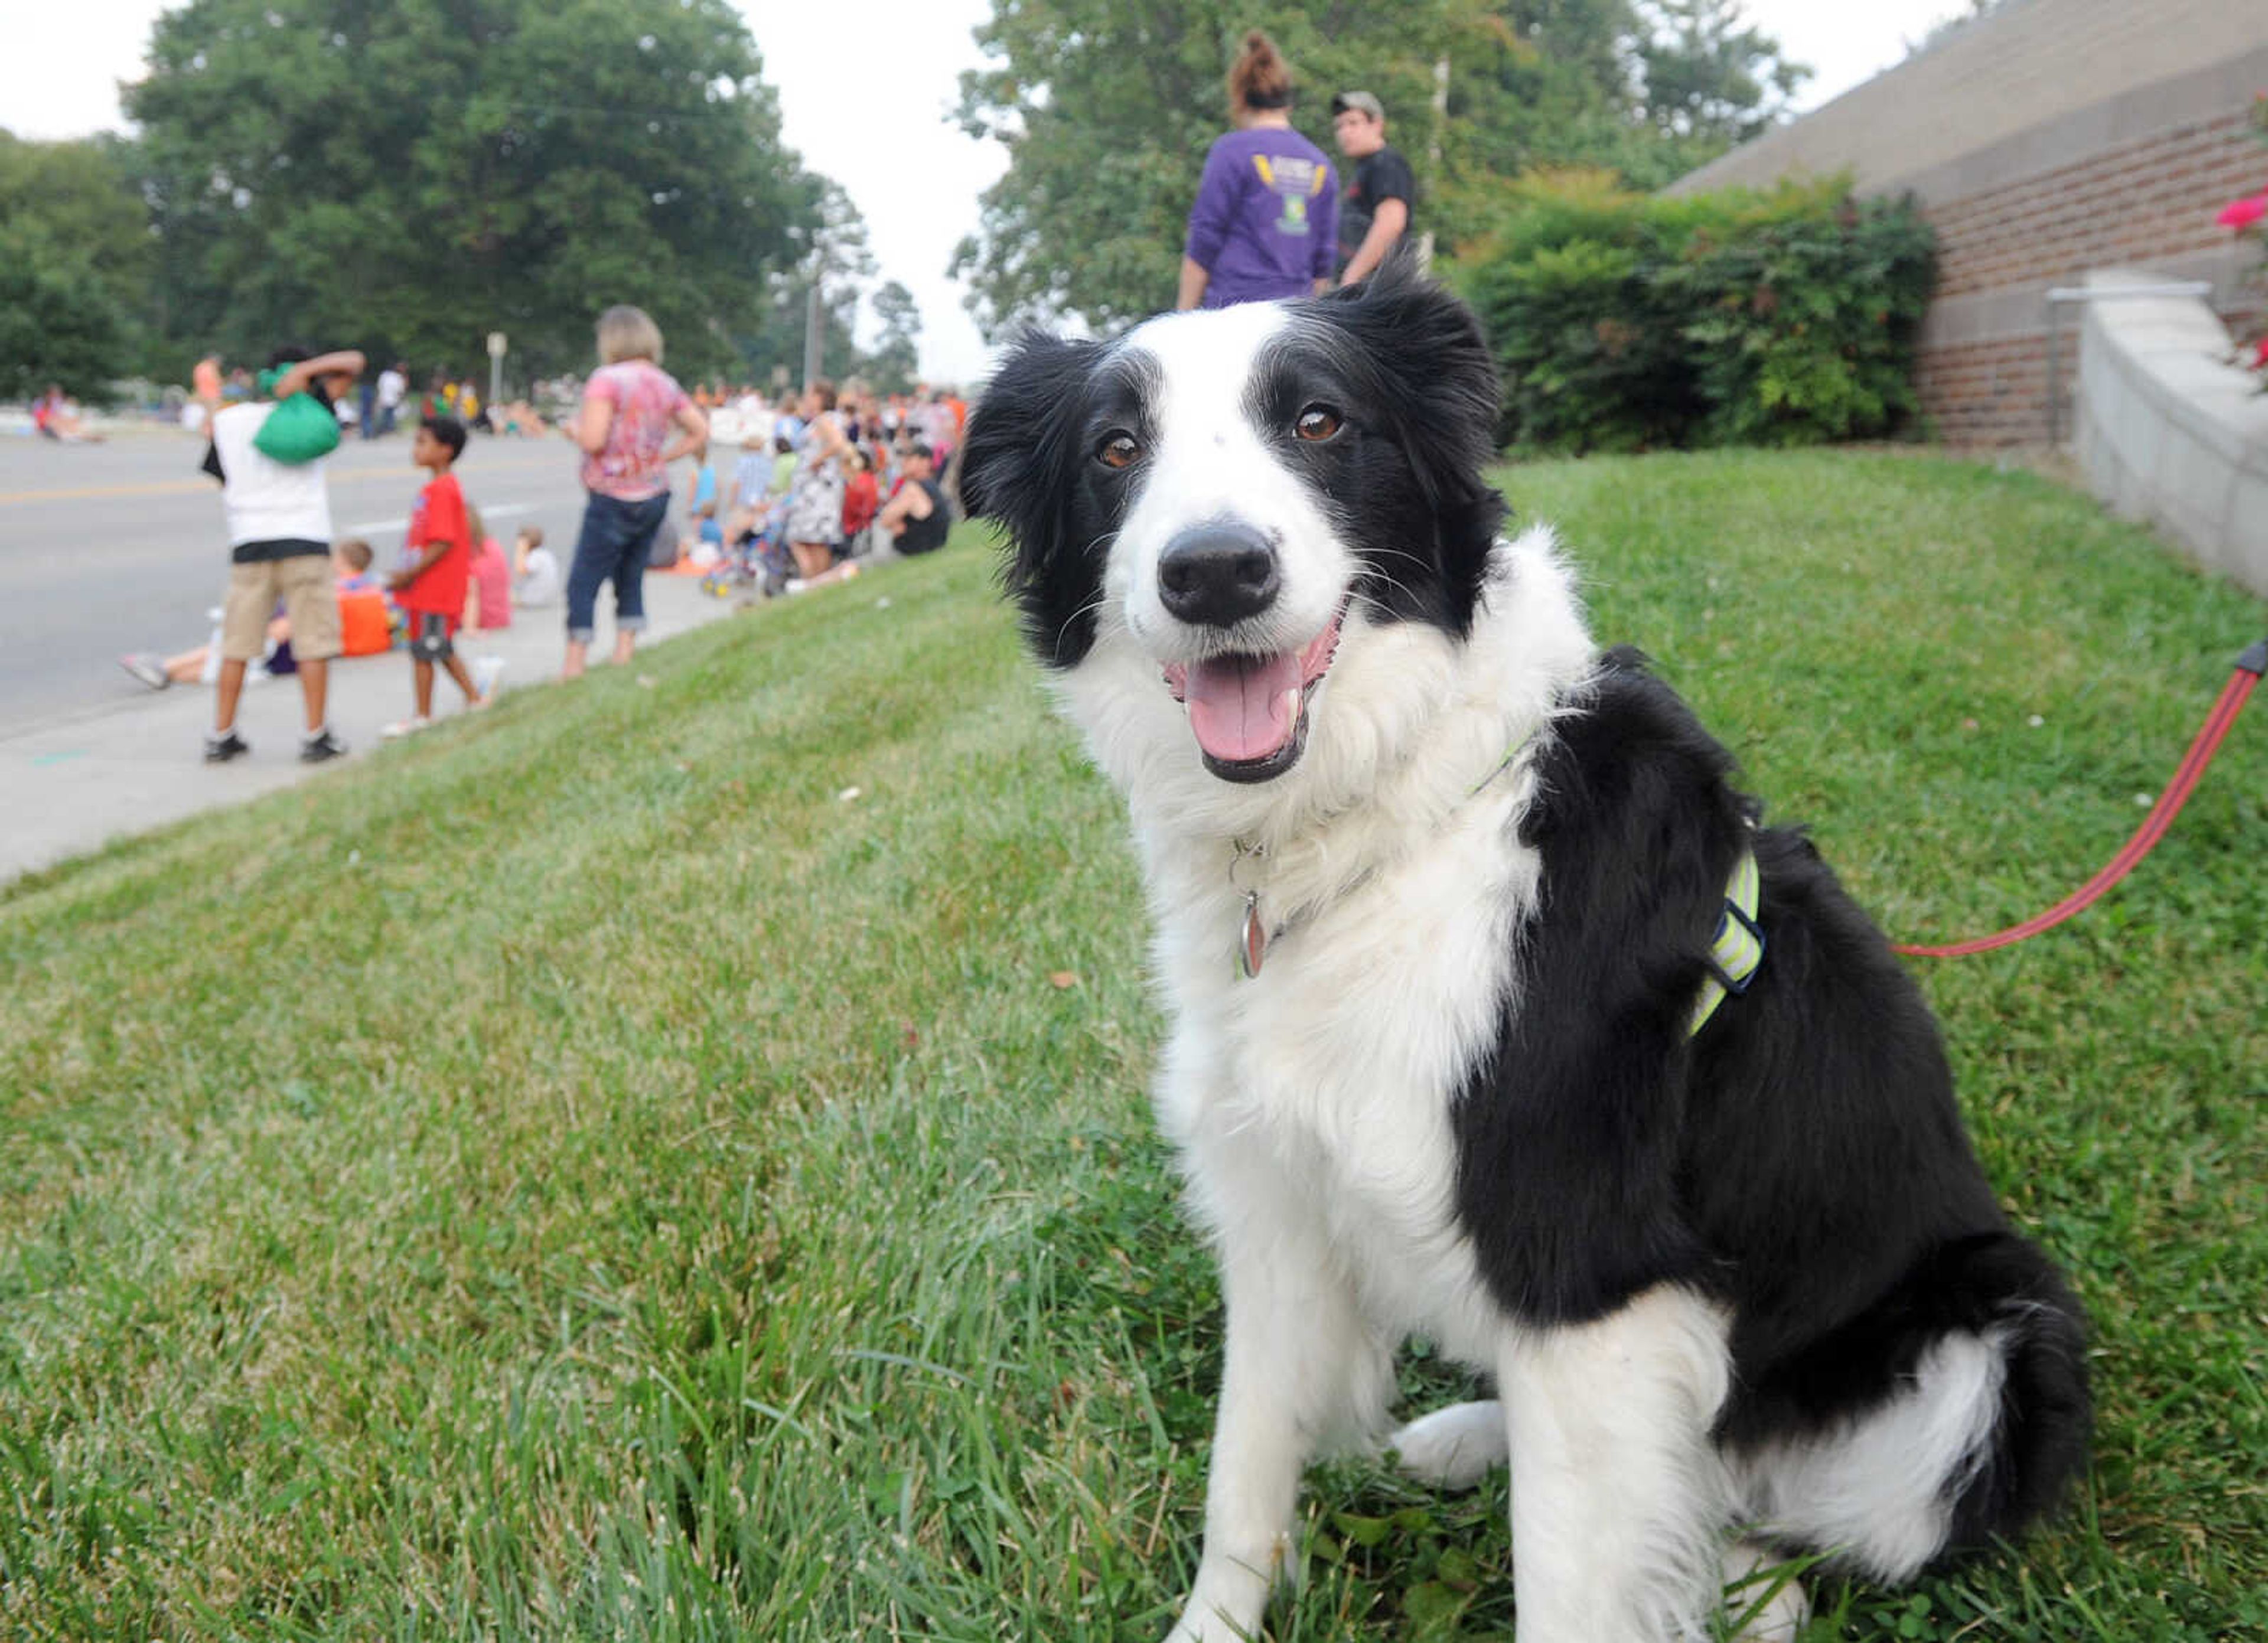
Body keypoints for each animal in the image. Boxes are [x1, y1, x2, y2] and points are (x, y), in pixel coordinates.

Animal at [957, 270, 2086, 1643]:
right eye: (1117, 450)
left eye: (1320, 421)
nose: (1216, 572)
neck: (1384, 813)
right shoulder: (1279, 1200)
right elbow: (1244, 1473)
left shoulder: (1586, 1253)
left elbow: (1566, 1579)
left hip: (1995, 1350)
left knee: (1775, 1497)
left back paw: (1753, 1589)